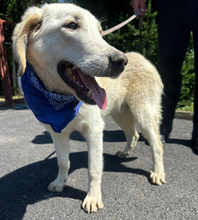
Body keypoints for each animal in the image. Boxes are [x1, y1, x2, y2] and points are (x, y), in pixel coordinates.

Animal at [12, 3, 166, 213]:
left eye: (100, 31)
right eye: (71, 25)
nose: (121, 62)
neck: (60, 100)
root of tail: (144, 59)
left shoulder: (94, 130)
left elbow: (94, 168)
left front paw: (92, 198)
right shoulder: (57, 132)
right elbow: (62, 161)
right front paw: (60, 182)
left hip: (143, 114)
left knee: (156, 144)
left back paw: (157, 173)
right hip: (120, 114)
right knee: (132, 134)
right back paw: (125, 152)